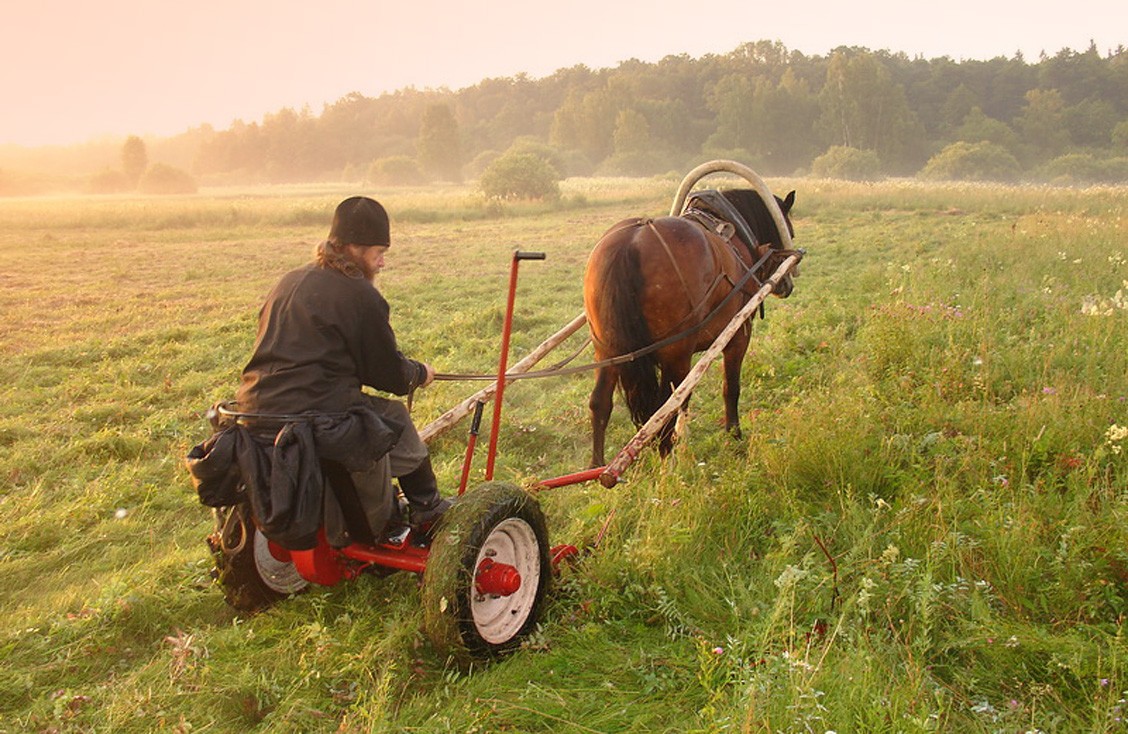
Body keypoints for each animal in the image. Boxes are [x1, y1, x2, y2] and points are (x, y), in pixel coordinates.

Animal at [586, 188, 798, 464]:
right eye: (789, 232)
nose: (786, 286)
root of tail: (631, 243)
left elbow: (685, 394)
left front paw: (682, 435)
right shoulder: (738, 336)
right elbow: (730, 388)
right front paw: (734, 436)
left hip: (609, 351)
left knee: (600, 403)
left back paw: (598, 466)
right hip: (673, 352)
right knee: (662, 407)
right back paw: (667, 461)